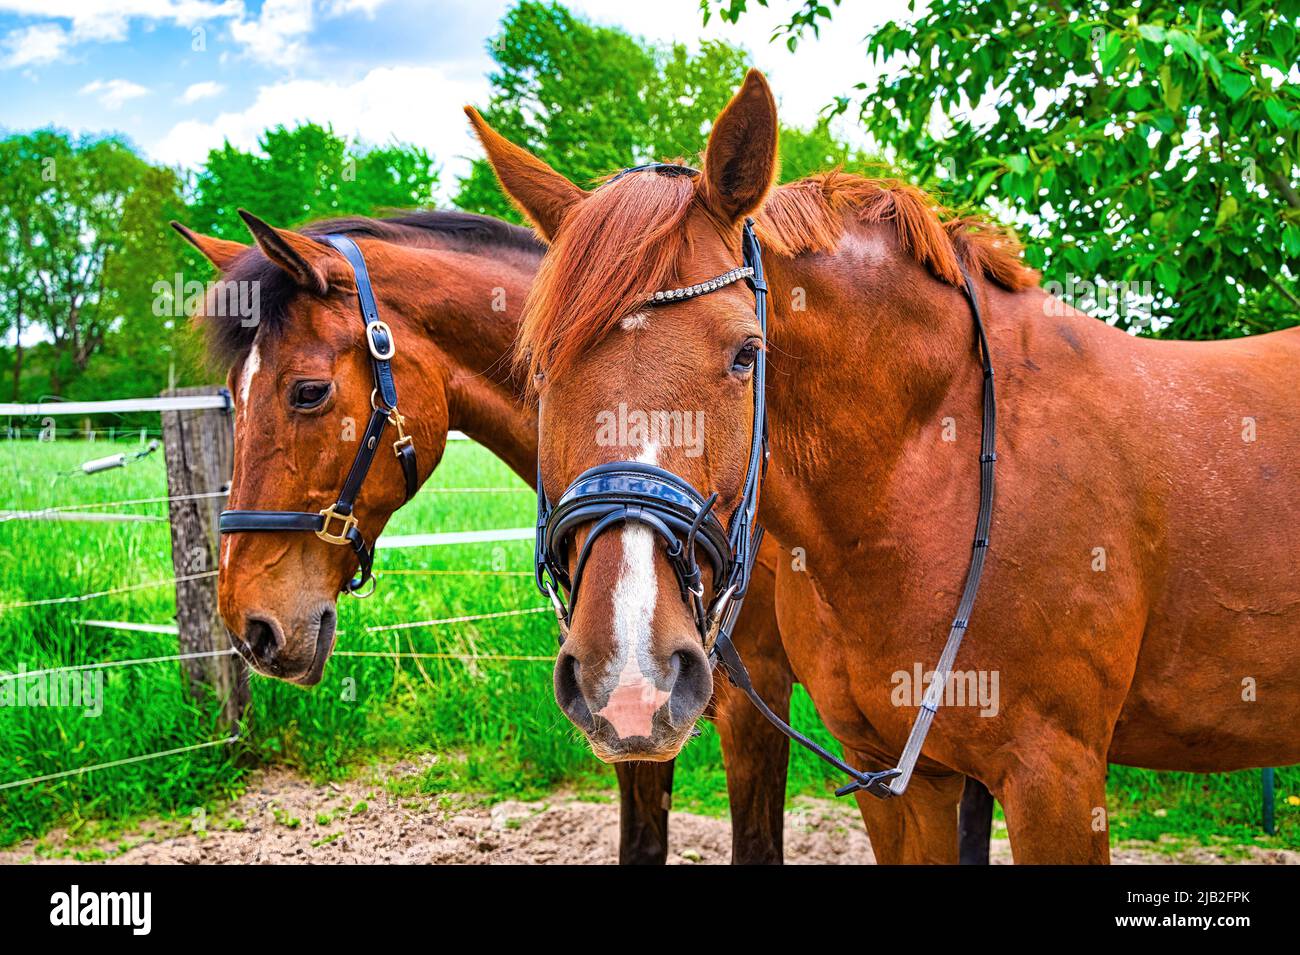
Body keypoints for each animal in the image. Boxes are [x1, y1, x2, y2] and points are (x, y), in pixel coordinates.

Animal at [467, 69, 1300, 863]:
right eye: (540, 369)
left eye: (746, 353)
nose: (629, 674)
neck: (932, 475)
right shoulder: (899, 779)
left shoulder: (1054, 776)